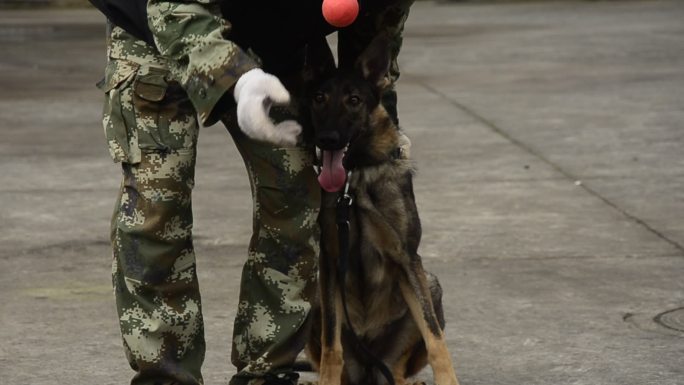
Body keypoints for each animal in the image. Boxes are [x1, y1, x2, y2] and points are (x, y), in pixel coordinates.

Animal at [304, 33, 460, 384]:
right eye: (319, 98)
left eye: (354, 99)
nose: (328, 138)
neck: (356, 177)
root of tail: (367, 369)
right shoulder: (330, 262)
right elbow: (331, 347)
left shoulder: (407, 258)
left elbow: (436, 339)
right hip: (316, 299)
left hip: (430, 285)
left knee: (398, 369)